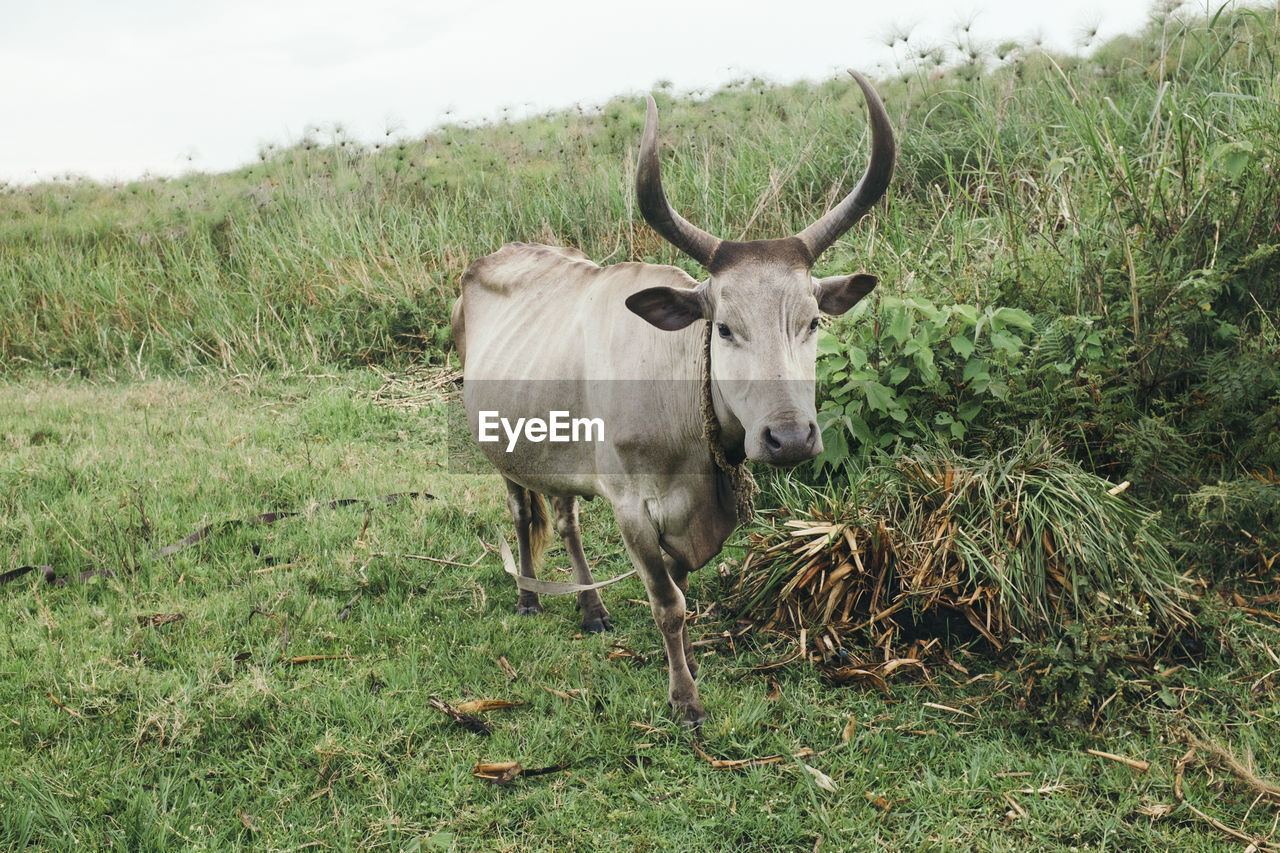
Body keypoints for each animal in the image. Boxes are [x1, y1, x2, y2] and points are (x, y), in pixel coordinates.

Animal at [455, 73, 896, 722]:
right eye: (724, 328)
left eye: (813, 322)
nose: (789, 437)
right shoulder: (631, 508)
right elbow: (667, 604)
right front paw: (685, 699)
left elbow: (682, 592)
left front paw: (688, 665)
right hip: (504, 448)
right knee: (520, 511)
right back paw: (530, 597)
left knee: (564, 518)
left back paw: (591, 609)